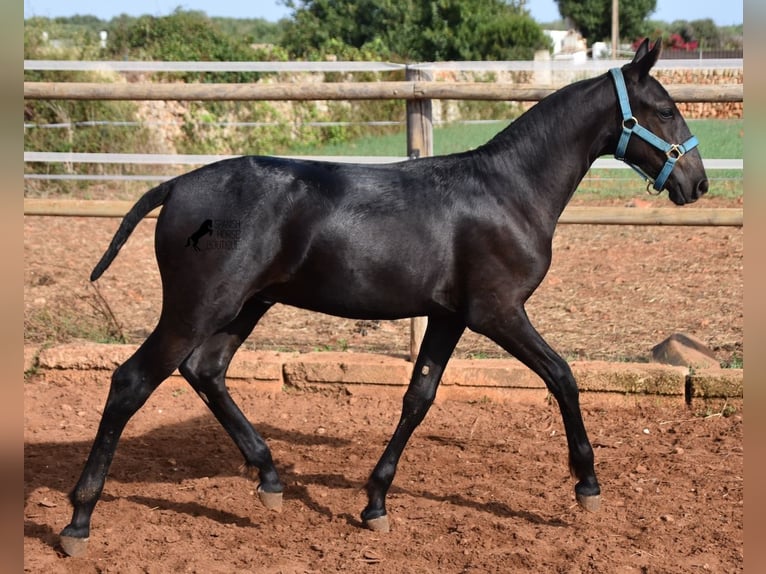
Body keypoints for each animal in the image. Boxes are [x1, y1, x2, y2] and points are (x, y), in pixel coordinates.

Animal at [58, 39, 708, 560]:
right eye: (667, 109)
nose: (696, 183)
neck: (508, 190)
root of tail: (175, 186)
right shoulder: (497, 312)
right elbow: (563, 376)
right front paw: (586, 485)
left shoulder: (448, 316)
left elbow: (418, 398)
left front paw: (375, 502)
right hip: (199, 308)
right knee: (132, 381)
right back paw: (78, 519)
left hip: (245, 306)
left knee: (205, 370)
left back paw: (269, 478)